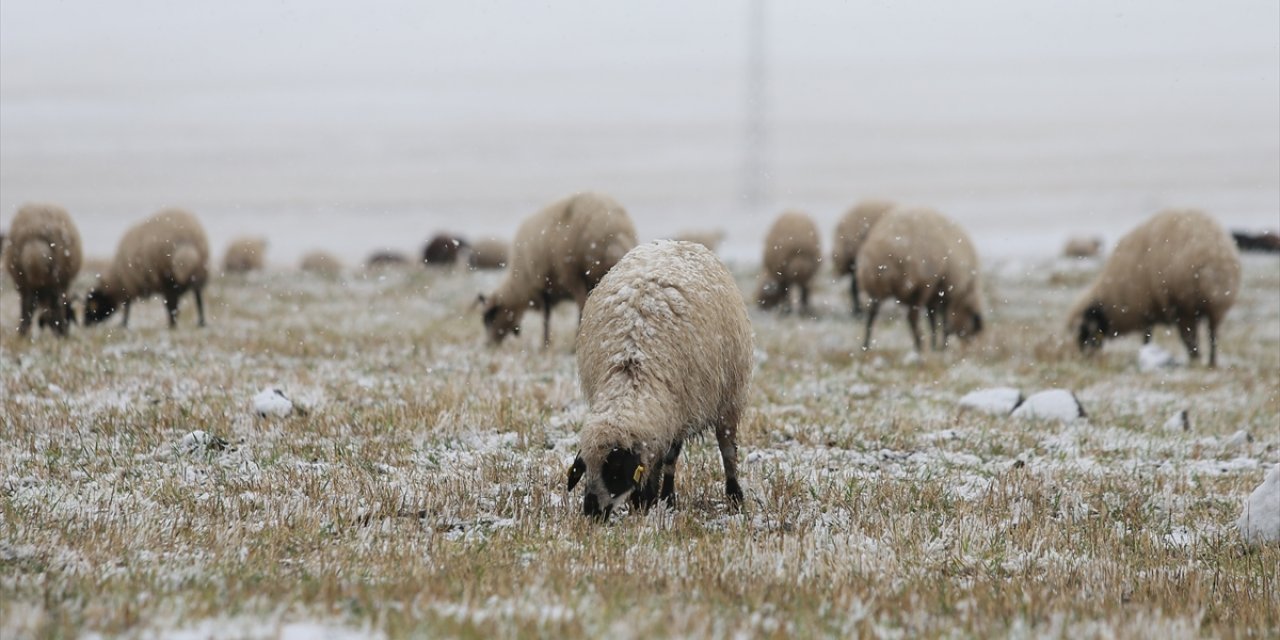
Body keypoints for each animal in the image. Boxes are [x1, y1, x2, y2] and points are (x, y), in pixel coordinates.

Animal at [3, 203, 82, 335]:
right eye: (70, 313)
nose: (67, 330)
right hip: (54, 282)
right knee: (54, 304)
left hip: (25, 282)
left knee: (27, 306)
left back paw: (24, 333)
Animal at [478, 190, 637, 348]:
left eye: (489, 317)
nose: (487, 345)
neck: (518, 287)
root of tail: (613, 230)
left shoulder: (541, 287)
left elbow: (545, 319)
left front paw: (544, 346)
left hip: (572, 273)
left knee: (582, 307)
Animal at [560, 240, 747, 519]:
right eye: (586, 469)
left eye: (615, 470)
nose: (592, 512)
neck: (631, 371)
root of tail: (677, 241)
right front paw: (645, 500)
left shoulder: (680, 410)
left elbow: (669, 458)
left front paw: (656, 499)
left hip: (727, 398)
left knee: (726, 450)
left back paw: (732, 497)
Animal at [855, 207, 983, 353]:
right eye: (974, 327)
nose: (969, 348)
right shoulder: (947, 290)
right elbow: (944, 321)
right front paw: (943, 346)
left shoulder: (936, 294)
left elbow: (933, 319)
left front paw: (935, 345)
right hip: (919, 285)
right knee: (912, 317)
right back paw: (919, 345)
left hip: (877, 288)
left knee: (871, 315)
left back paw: (866, 346)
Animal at [1070, 204, 1239, 366]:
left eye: (1085, 331)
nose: (1085, 358)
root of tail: (1215, 258)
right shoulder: (1147, 310)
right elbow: (1147, 335)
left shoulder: (1144, 307)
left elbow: (1147, 336)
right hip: (1216, 308)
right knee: (1213, 336)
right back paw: (1211, 362)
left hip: (1185, 304)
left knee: (1190, 338)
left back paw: (1195, 359)